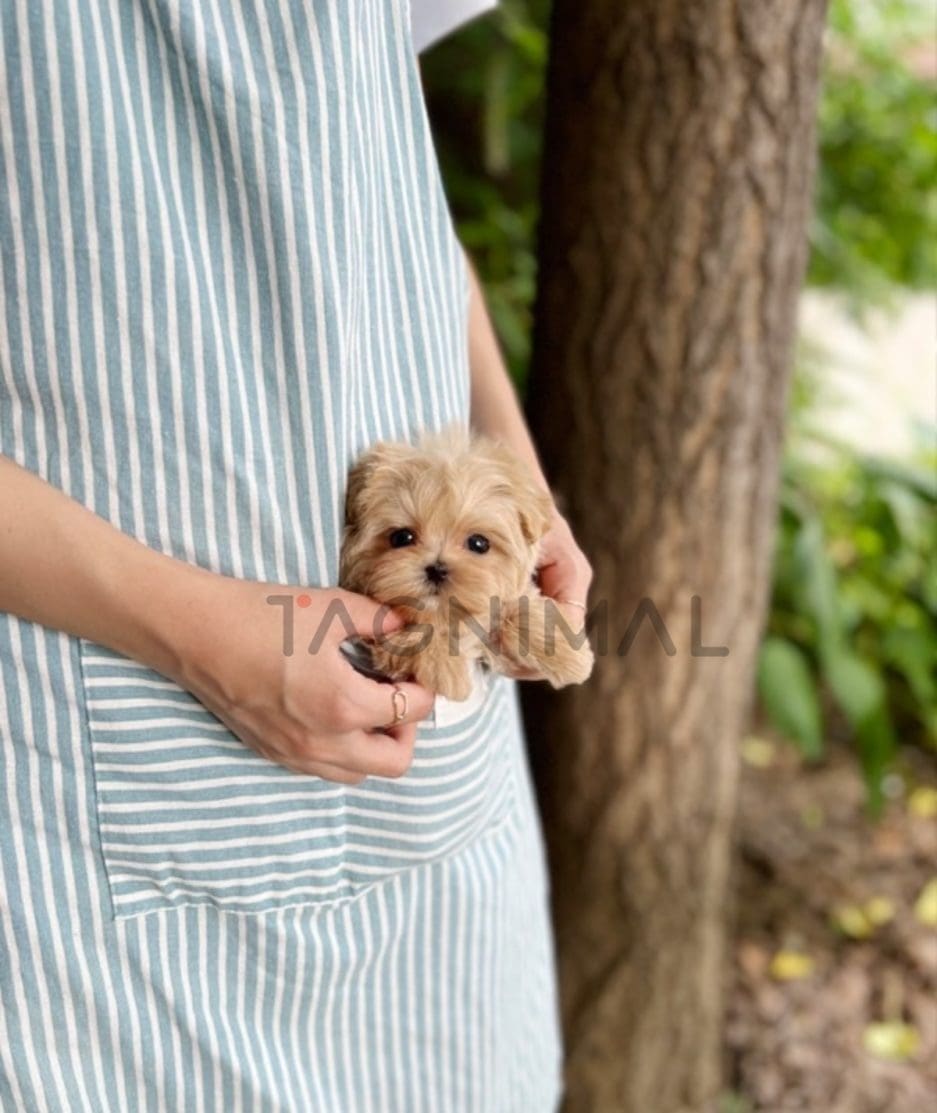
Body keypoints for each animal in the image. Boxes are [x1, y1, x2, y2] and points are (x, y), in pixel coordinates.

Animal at [340, 429, 596, 698]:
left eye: (478, 543)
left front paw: (568, 654)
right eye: (401, 537)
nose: (437, 569)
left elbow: (522, 608)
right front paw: (447, 671)